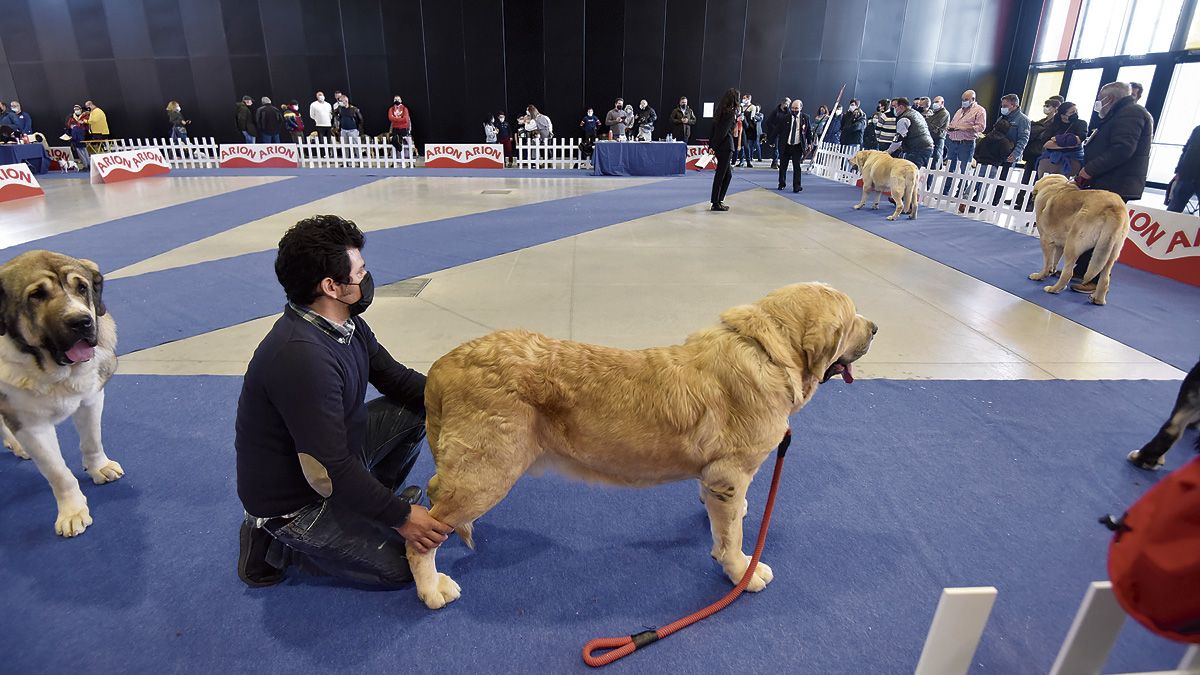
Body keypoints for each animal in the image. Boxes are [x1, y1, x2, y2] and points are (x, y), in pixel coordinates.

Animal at [1, 248, 123, 535]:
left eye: (82, 288)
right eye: (36, 295)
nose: (81, 321)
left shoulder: (91, 398)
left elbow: (92, 440)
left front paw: (99, 467)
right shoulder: (30, 425)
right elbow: (58, 472)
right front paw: (72, 511)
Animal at [408, 281, 878, 607]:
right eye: (851, 319)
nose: (875, 327)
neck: (768, 352)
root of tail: (443, 365)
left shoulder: (717, 479)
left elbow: (726, 517)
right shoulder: (728, 474)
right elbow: (731, 538)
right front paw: (741, 570)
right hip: (489, 473)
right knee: (420, 534)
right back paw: (432, 589)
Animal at [1027, 172, 1128, 305]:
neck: (1056, 185)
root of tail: (1115, 208)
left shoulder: (1046, 240)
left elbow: (1047, 262)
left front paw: (1040, 275)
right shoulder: (1059, 244)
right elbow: (1055, 260)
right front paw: (1051, 271)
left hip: (1072, 244)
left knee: (1068, 273)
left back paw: (1054, 289)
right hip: (1109, 252)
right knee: (1105, 278)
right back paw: (1098, 299)